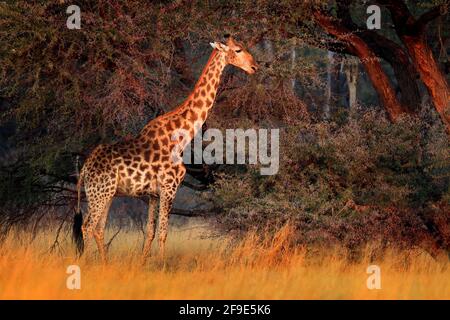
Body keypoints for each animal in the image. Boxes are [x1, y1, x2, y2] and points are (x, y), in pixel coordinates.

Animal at [73, 36, 256, 264]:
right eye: (238, 50)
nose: (254, 67)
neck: (181, 136)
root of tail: (84, 170)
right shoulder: (170, 187)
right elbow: (163, 233)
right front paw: (161, 265)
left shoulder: (153, 194)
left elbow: (150, 232)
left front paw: (143, 264)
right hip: (99, 193)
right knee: (87, 227)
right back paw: (87, 263)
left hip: (105, 194)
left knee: (98, 228)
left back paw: (105, 265)